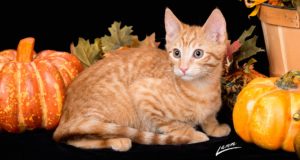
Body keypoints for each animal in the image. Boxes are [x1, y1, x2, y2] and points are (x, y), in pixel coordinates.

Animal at [53, 8, 230, 152]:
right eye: (176, 53)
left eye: (198, 53)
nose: (183, 68)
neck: (203, 89)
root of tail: (64, 117)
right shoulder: (142, 91)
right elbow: (173, 124)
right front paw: (192, 135)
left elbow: (209, 118)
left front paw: (215, 128)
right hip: (97, 118)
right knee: (77, 139)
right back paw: (118, 140)